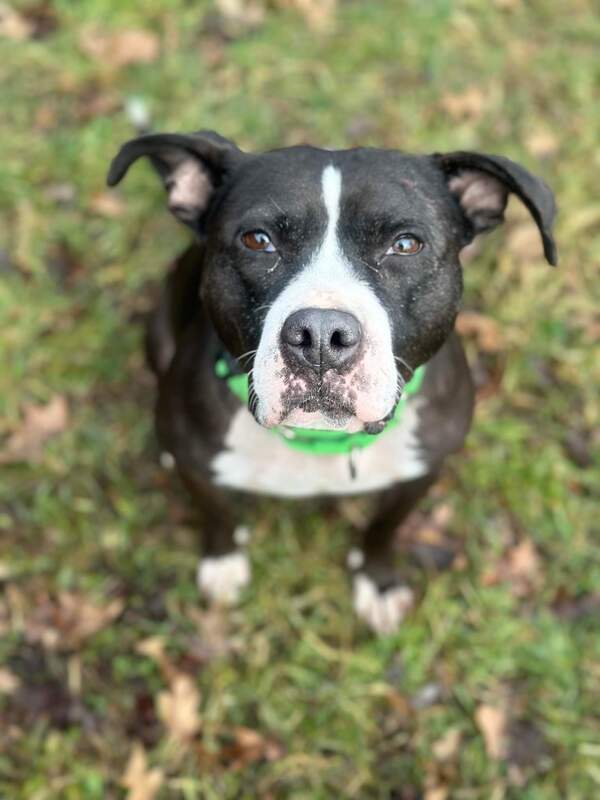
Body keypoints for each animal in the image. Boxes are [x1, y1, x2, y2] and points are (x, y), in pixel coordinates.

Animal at [105, 133, 556, 632]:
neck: (318, 439)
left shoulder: (421, 470)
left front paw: (378, 582)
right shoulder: (198, 466)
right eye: (257, 240)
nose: (320, 335)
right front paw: (223, 563)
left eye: (405, 244)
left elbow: (384, 527)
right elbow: (217, 513)